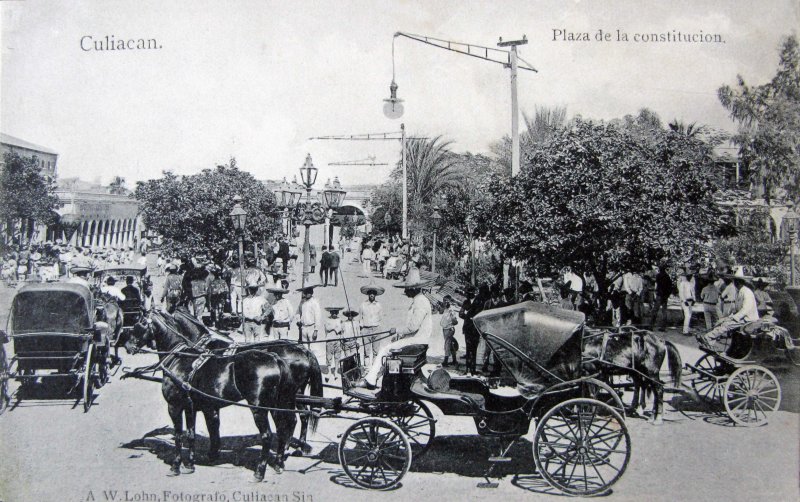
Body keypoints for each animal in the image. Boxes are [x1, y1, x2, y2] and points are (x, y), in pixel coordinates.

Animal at [125, 310, 300, 478]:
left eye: (140, 322)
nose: (127, 345)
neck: (179, 358)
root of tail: (276, 359)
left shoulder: (174, 406)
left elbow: (179, 436)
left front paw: (176, 466)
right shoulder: (193, 407)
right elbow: (192, 434)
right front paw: (190, 464)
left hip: (259, 408)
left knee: (267, 435)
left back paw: (260, 471)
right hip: (277, 404)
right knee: (284, 428)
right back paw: (278, 462)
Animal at [171, 306, 322, 452]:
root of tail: (304, 350)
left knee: (299, 416)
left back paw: (290, 446)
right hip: (293, 394)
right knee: (300, 416)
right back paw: (295, 445)